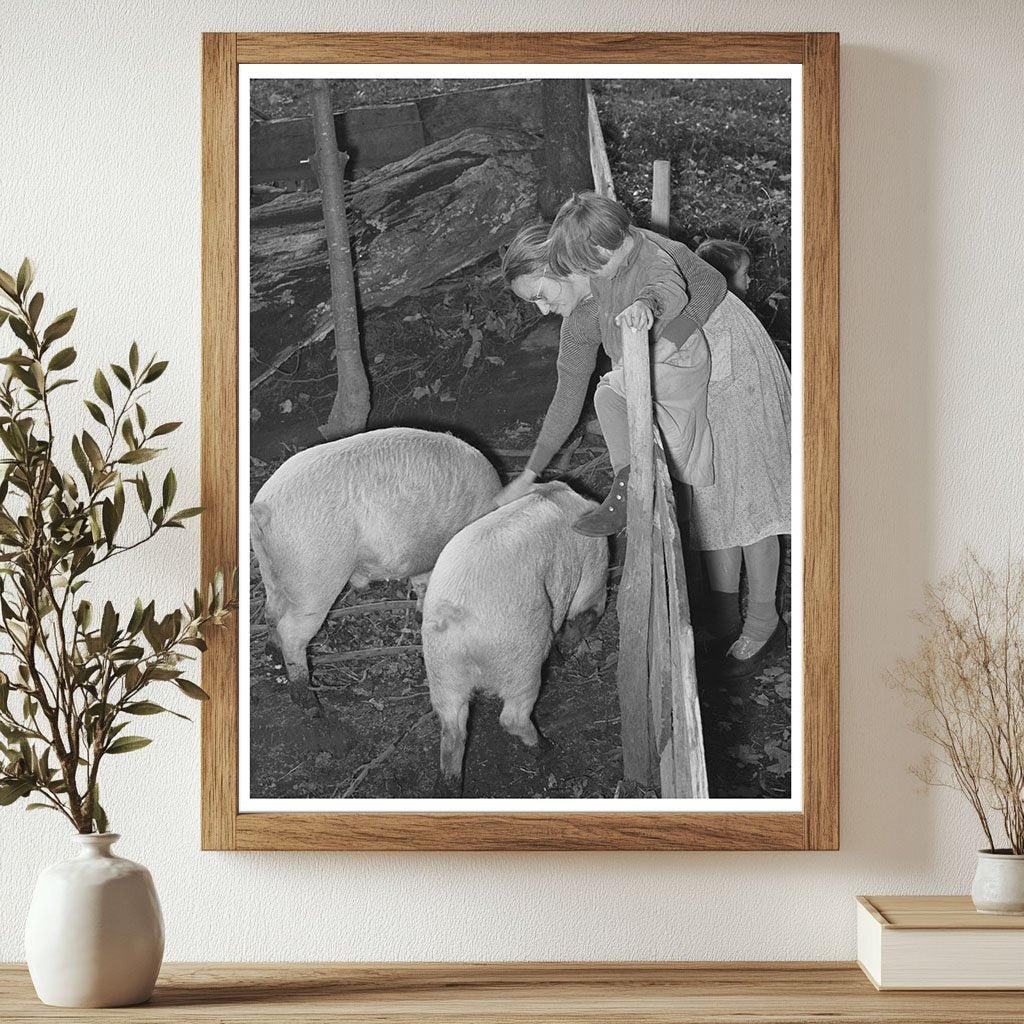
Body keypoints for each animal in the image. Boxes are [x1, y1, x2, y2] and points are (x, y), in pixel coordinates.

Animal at [251, 425, 499, 704]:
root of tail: (264, 507)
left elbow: (423, 585)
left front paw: (420, 615)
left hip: (271, 567)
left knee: (271, 611)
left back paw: (272, 653)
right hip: (313, 575)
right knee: (292, 632)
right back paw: (310, 705)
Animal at [421, 483, 606, 786]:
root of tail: (454, 618)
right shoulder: (593, 568)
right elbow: (585, 607)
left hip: (441, 669)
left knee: (452, 729)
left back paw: (449, 783)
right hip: (521, 656)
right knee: (512, 716)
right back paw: (547, 747)